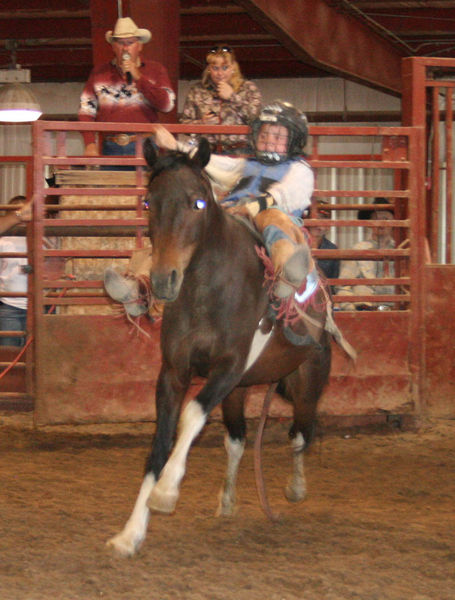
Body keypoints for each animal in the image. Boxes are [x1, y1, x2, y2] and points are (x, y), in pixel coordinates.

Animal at [106, 137, 334, 556]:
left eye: (198, 202)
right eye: (148, 202)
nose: (164, 280)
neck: (206, 290)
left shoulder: (228, 368)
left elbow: (193, 415)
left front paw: (166, 493)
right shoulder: (173, 373)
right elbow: (160, 444)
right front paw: (130, 534)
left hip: (307, 380)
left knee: (301, 432)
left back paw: (296, 488)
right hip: (239, 392)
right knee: (238, 441)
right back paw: (227, 500)